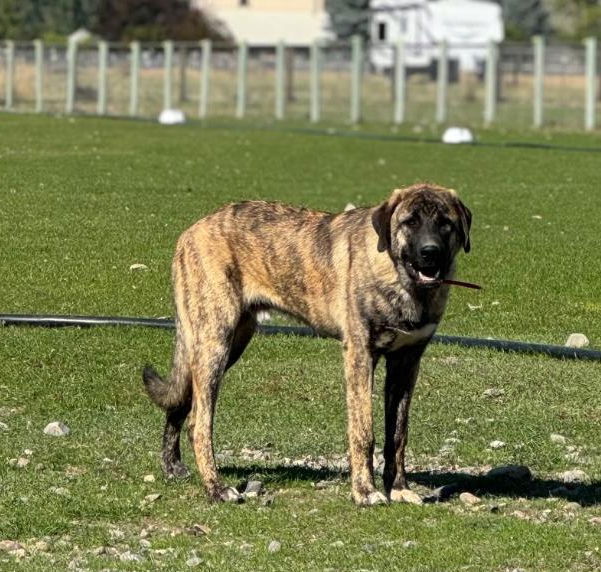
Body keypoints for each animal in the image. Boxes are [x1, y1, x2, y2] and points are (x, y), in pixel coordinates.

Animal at [143, 183, 472, 504]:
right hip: (215, 341)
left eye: (445, 223)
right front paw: (365, 492)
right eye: (410, 222)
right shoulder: (360, 355)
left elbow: (398, 433)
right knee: (199, 422)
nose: (430, 252)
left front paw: (400, 488)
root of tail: (191, 231)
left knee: (183, 402)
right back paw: (216, 488)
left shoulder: (406, 362)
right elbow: (363, 431)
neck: (401, 280)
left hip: (228, 343)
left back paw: (173, 466)